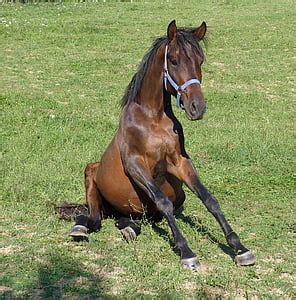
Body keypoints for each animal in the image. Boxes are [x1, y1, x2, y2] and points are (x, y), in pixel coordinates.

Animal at [56, 19, 256, 270]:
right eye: (174, 60)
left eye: (200, 60)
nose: (197, 107)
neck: (153, 119)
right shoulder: (135, 165)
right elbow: (163, 201)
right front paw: (186, 252)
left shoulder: (180, 162)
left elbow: (209, 199)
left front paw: (240, 248)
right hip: (91, 175)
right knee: (95, 218)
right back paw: (80, 227)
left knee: (131, 219)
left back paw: (130, 229)